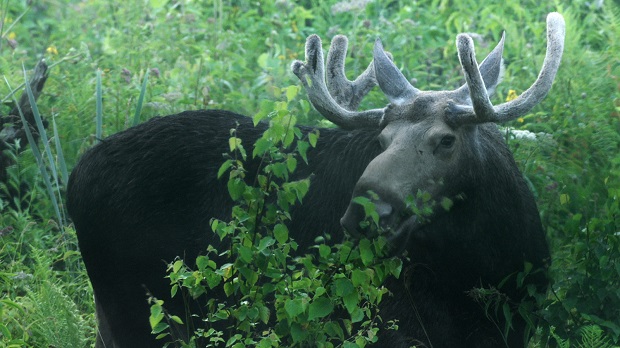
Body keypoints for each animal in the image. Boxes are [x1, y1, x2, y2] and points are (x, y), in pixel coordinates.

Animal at [65, 12, 564, 346]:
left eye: (446, 140)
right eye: (381, 139)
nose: (364, 213)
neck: (487, 262)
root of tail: (73, 183)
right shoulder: (394, 325)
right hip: (136, 314)